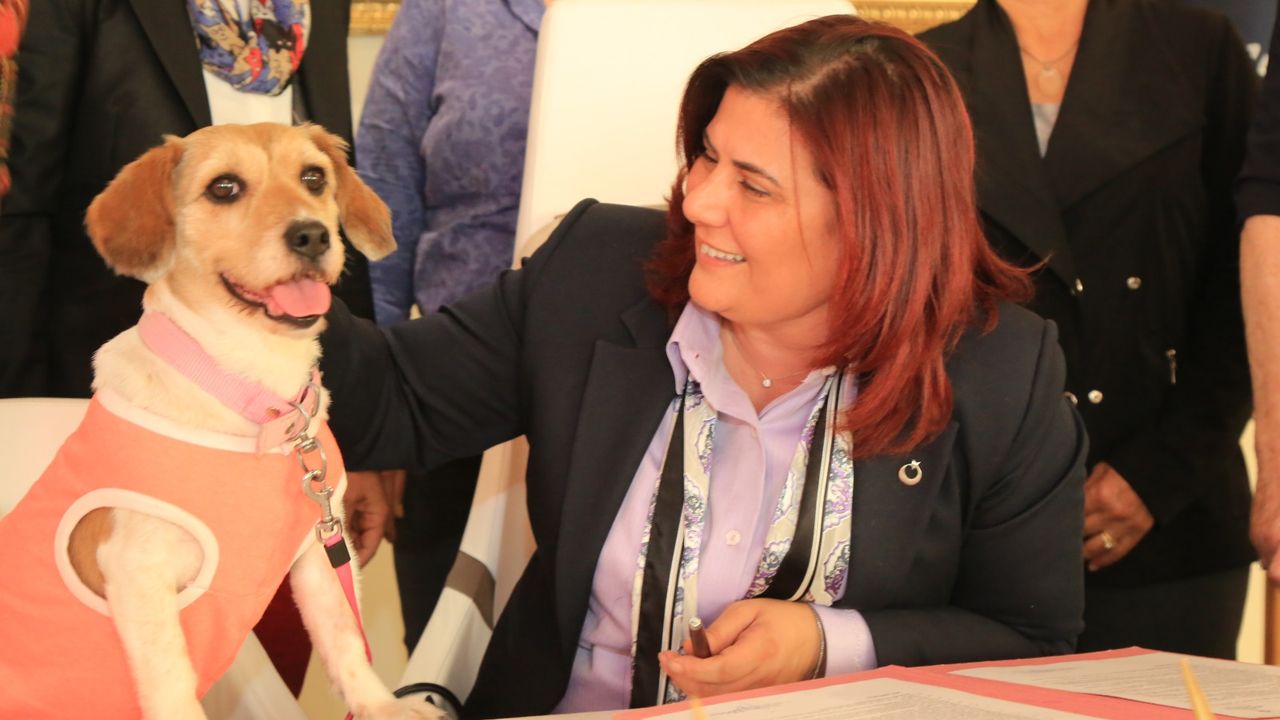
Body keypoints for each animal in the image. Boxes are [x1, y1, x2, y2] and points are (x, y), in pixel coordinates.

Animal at [0, 123, 440, 720]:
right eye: (224, 188)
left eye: (313, 177)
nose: (312, 235)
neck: (261, 408)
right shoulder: (137, 574)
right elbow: (172, 692)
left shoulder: (319, 550)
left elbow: (345, 640)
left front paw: (381, 707)